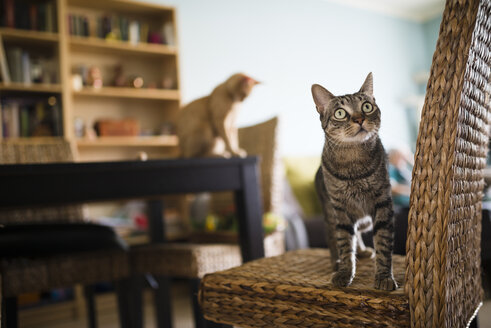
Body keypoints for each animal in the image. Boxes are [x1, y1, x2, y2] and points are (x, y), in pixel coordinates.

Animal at [314, 73, 398, 290]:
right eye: (340, 113)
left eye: (367, 106)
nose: (360, 119)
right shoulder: (340, 209)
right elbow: (344, 243)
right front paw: (345, 271)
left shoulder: (383, 203)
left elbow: (383, 243)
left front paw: (384, 276)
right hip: (330, 213)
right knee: (333, 238)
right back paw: (336, 261)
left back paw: (361, 250)